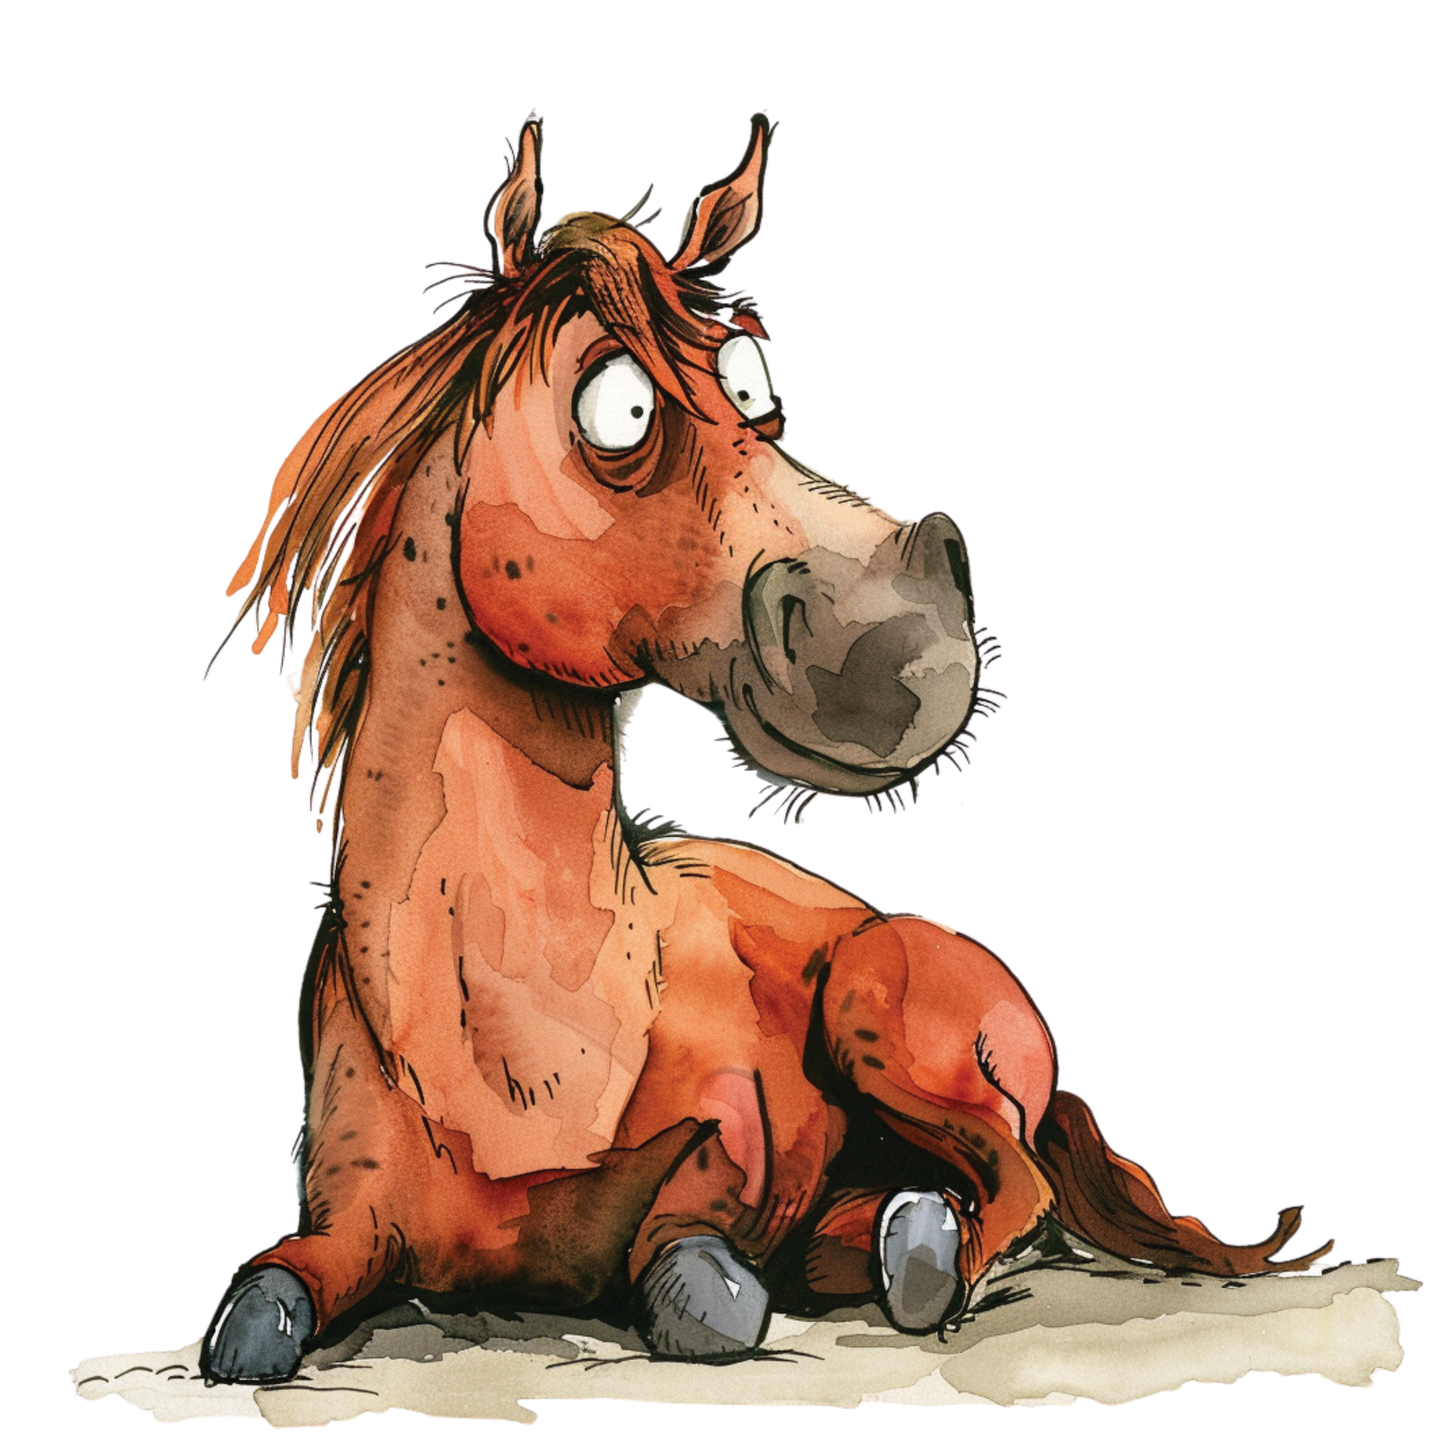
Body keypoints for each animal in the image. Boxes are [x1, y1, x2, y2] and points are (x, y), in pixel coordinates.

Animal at [198, 107, 1334, 1382]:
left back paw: (907, 1250)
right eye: (618, 406)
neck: (519, 1065)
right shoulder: (342, 1220)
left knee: (1011, 1179)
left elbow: (697, 1265)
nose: (913, 635)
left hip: (881, 1010)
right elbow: (259, 1303)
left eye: (751, 380)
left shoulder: (740, 1143)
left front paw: (722, 1271)